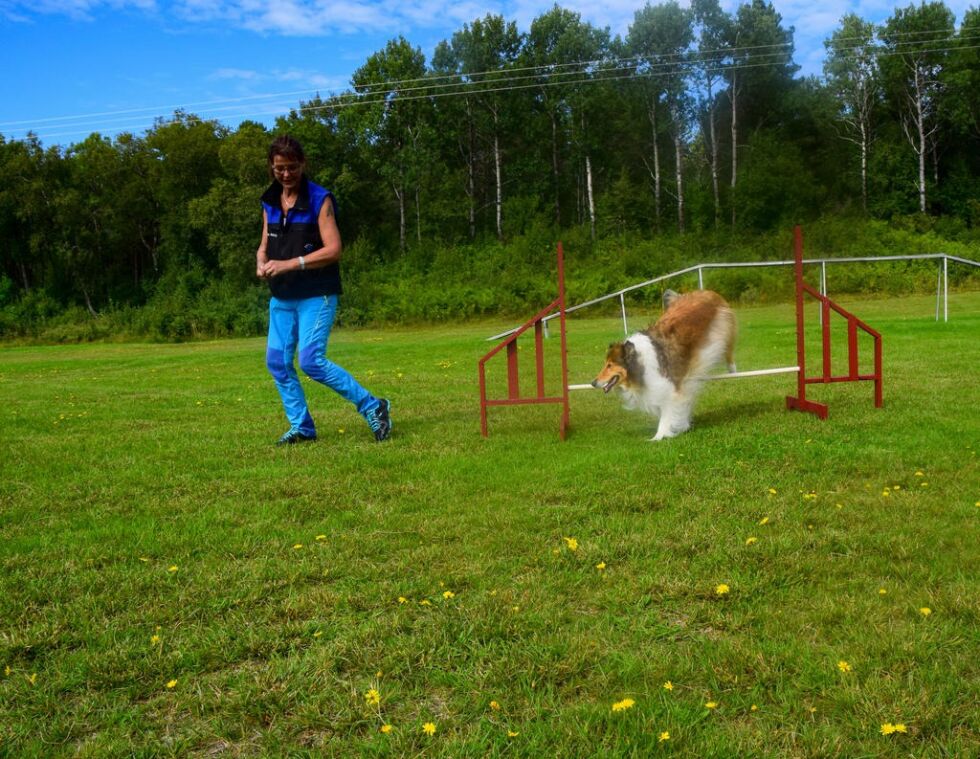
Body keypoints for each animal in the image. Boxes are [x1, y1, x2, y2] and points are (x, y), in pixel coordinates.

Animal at [588, 288, 736, 440]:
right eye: (606, 364)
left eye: (610, 365)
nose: (593, 383)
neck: (639, 363)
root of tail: (706, 291)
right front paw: (683, 426)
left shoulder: (669, 389)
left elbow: (667, 414)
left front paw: (658, 437)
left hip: (724, 329)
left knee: (728, 349)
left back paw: (732, 369)